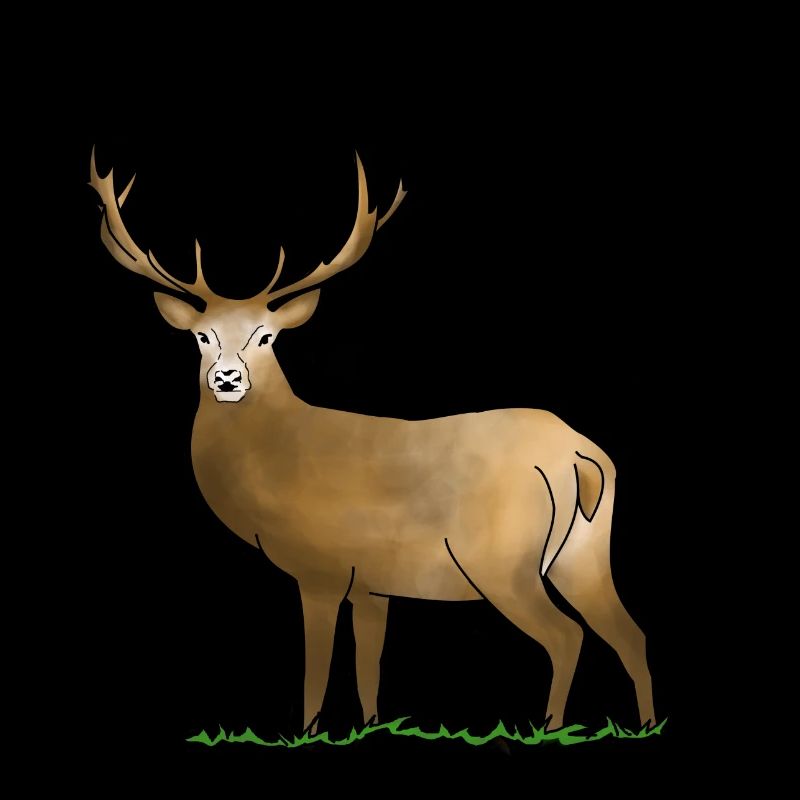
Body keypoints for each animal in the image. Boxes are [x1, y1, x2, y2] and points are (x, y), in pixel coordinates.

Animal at [89, 147, 655, 734]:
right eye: (202, 336)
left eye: (266, 337)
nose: (227, 378)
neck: (275, 463)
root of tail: (579, 454)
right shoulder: (372, 584)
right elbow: (369, 667)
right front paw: (372, 725)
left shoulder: (320, 567)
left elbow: (317, 668)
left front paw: (307, 731)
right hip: (583, 551)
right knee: (630, 632)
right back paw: (644, 723)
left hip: (502, 560)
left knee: (566, 636)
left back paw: (549, 726)